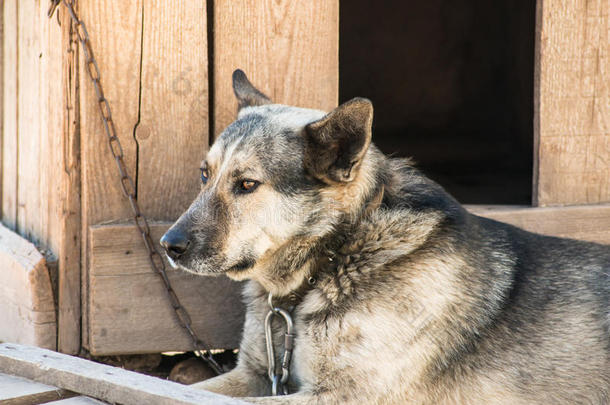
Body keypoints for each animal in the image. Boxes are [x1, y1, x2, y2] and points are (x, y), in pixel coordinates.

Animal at [162, 71, 608, 402]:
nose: (169, 246)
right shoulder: (255, 372)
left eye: (247, 185)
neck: (333, 257)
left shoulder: (343, 395)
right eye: (205, 175)